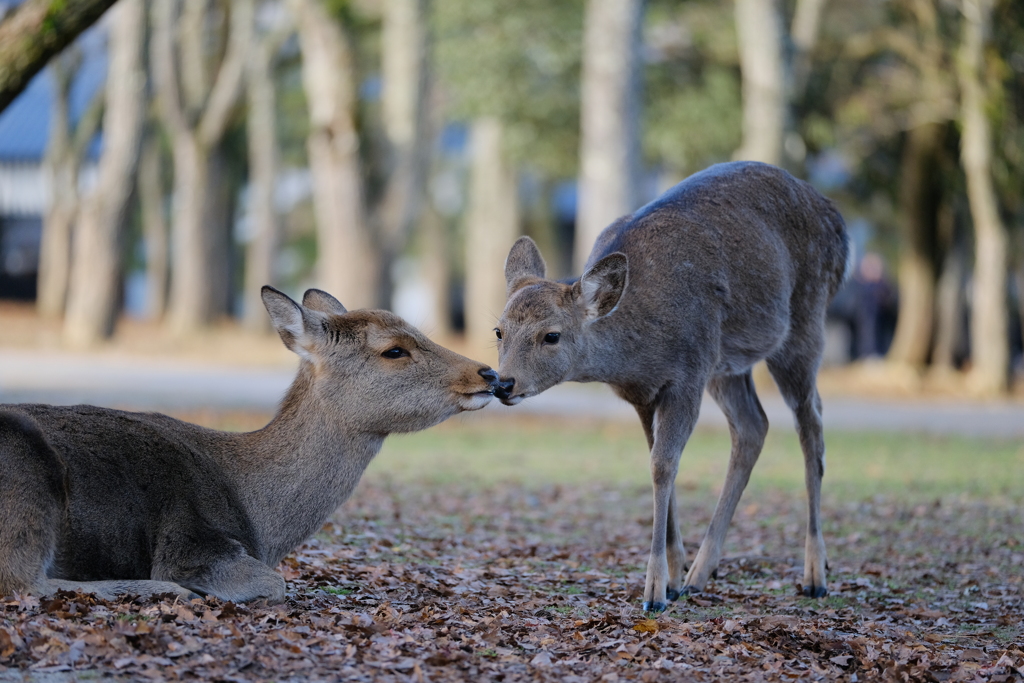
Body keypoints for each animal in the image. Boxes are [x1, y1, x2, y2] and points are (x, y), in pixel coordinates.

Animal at [0, 286, 495, 602]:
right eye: (394, 350)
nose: (488, 373)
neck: (259, 520)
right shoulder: (189, 542)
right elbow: (275, 584)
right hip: (25, 471)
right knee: (22, 581)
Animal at [491, 162, 851, 610]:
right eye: (499, 331)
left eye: (551, 335)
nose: (503, 384)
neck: (641, 350)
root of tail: (839, 224)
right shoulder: (644, 393)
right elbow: (660, 463)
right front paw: (675, 575)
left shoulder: (688, 373)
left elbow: (663, 466)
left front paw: (655, 590)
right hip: (727, 363)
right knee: (753, 425)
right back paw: (700, 573)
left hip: (802, 323)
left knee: (811, 425)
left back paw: (815, 574)